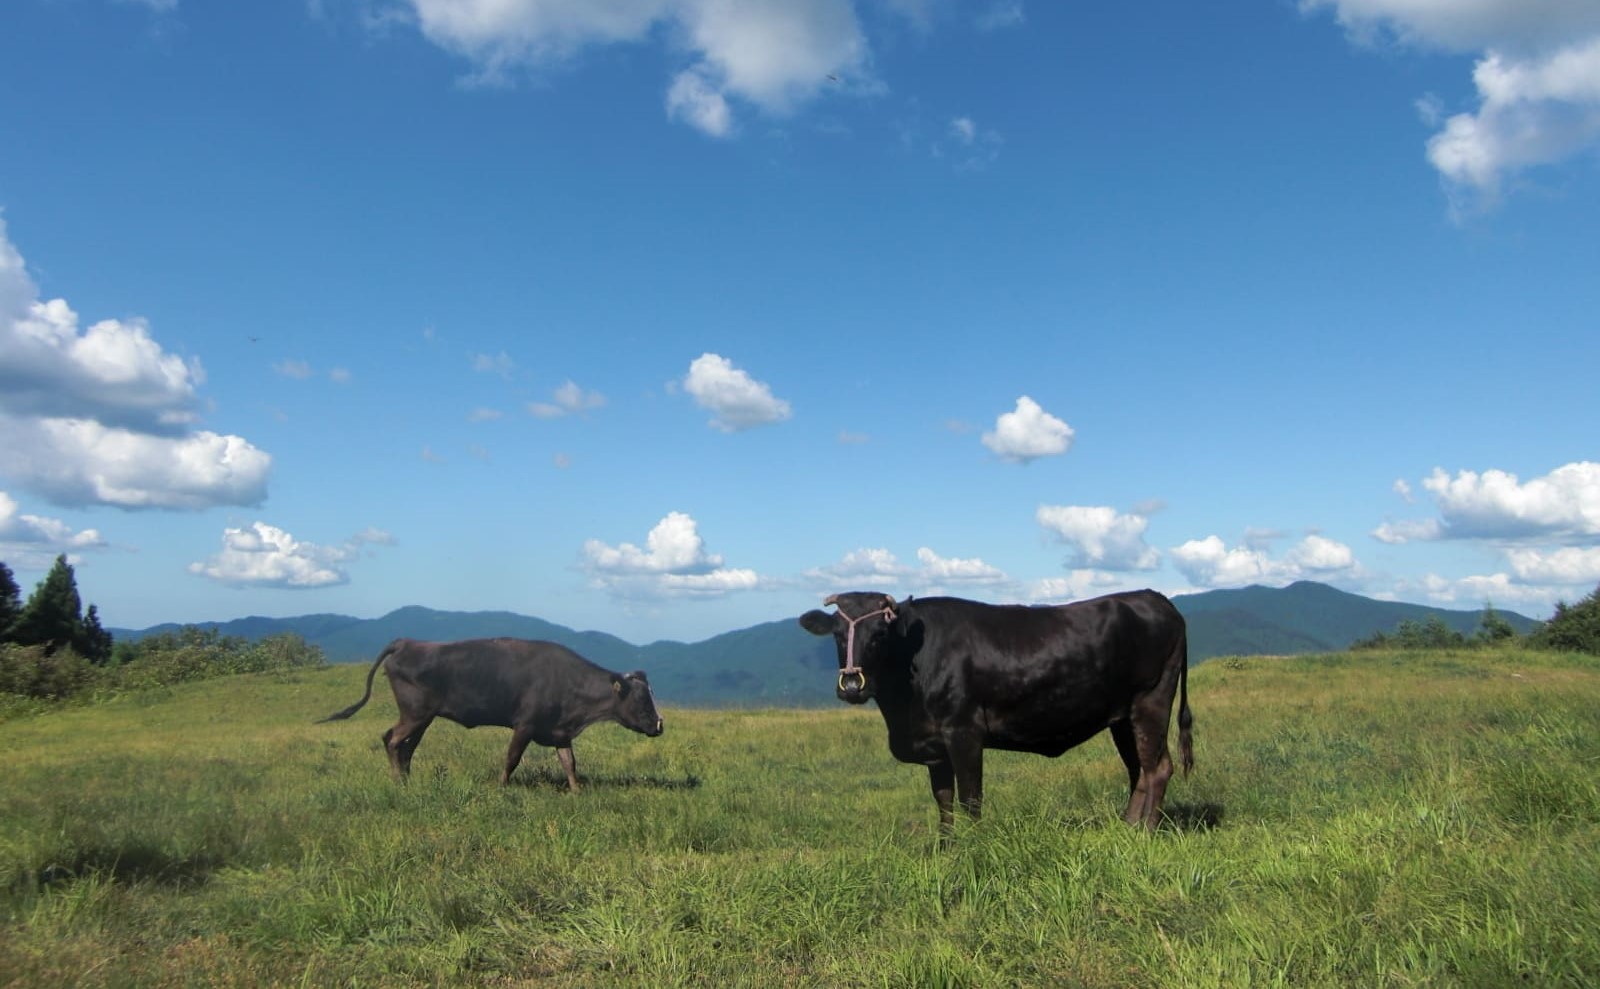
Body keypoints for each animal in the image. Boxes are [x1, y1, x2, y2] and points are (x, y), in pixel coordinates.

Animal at [315, 636, 665, 790]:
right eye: (642, 701)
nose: (659, 725)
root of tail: (408, 642)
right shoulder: (525, 725)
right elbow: (511, 758)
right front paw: (501, 787)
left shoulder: (559, 730)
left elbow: (570, 763)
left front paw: (577, 791)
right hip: (414, 714)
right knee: (391, 739)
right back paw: (398, 781)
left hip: (423, 718)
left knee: (406, 747)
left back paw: (407, 779)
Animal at [800, 588, 1190, 825]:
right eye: (838, 635)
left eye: (879, 635)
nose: (852, 685)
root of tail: (1154, 597)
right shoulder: (934, 746)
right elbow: (943, 801)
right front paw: (947, 852)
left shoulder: (964, 731)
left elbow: (971, 800)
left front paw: (975, 848)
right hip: (1122, 716)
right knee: (1139, 769)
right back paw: (1127, 826)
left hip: (1151, 699)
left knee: (1158, 768)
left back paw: (1145, 831)